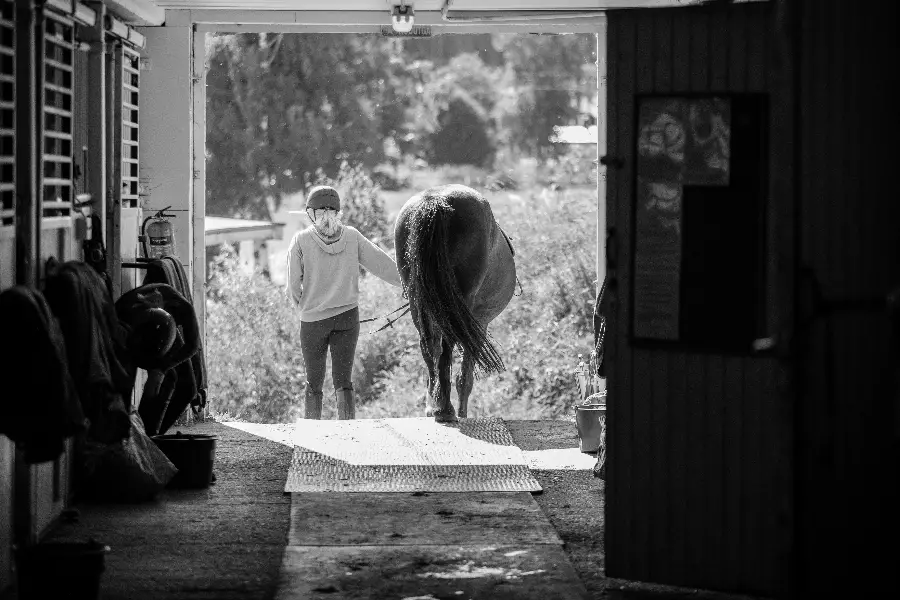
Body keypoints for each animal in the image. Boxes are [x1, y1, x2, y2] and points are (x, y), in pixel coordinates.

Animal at [394, 184, 517, 423]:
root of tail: (435, 199)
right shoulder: (479, 322)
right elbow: (464, 378)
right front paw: (461, 412)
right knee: (445, 348)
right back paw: (445, 410)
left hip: (419, 303)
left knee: (430, 346)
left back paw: (436, 405)